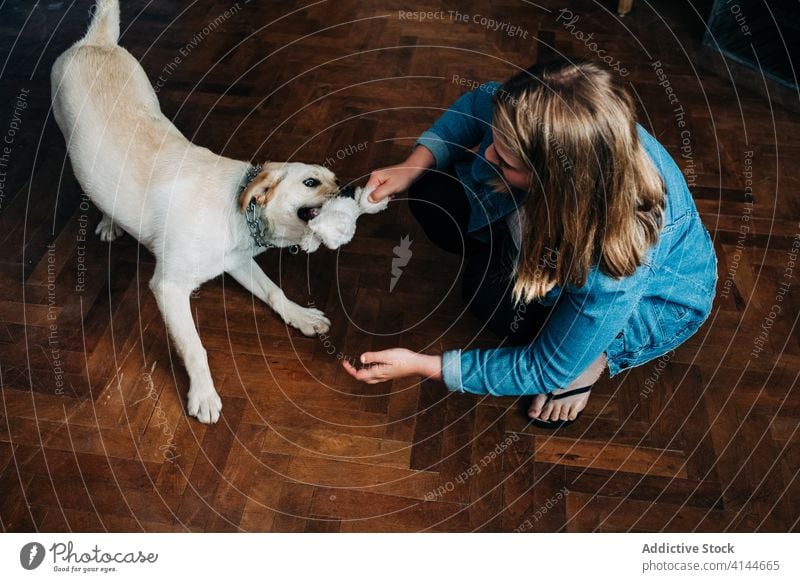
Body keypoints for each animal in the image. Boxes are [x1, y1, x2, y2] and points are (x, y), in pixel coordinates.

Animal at [50, 0, 388, 422]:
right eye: (311, 182)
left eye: (335, 178)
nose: (348, 189)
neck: (241, 213)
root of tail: (96, 42)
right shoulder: (169, 287)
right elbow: (195, 348)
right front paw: (203, 394)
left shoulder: (238, 260)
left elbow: (273, 290)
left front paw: (300, 316)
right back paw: (110, 221)